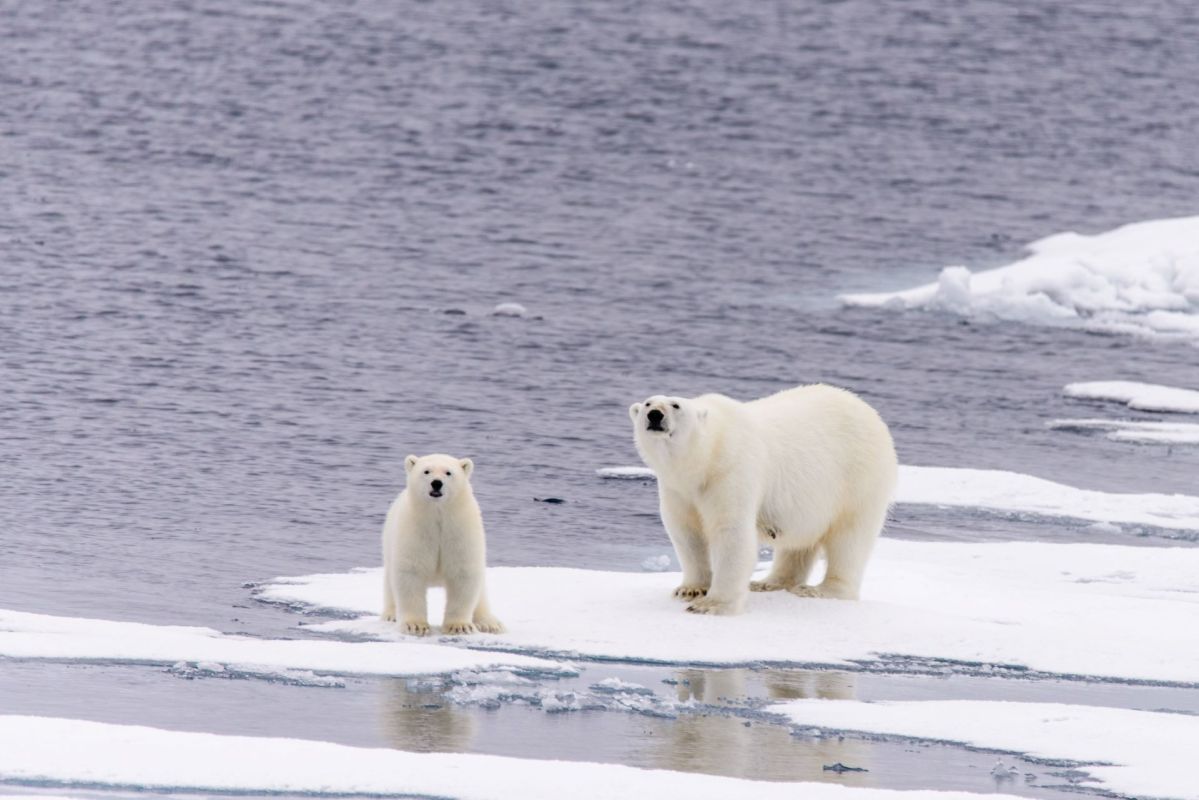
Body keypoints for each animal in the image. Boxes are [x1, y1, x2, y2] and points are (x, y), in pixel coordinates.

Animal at [381, 453, 504, 636]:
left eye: (448, 472)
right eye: (426, 471)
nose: (436, 483)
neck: (438, 515)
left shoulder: (460, 530)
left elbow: (464, 574)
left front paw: (459, 626)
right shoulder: (415, 529)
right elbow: (410, 573)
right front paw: (415, 625)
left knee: (481, 593)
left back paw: (489, 623)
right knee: (390, 582)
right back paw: (391, 615)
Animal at [629, 384, 897, 615]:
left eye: (676, 405)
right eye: (647, 403)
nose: (654, 415)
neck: (706, 456)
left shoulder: (731, 471)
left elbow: (731, 532)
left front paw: (712, 605)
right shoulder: (677, 488)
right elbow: (686, 532)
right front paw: (690, 589)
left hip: (858, 479)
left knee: (850, 538)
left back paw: (819, 590)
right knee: (798, 544)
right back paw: (769, 582)